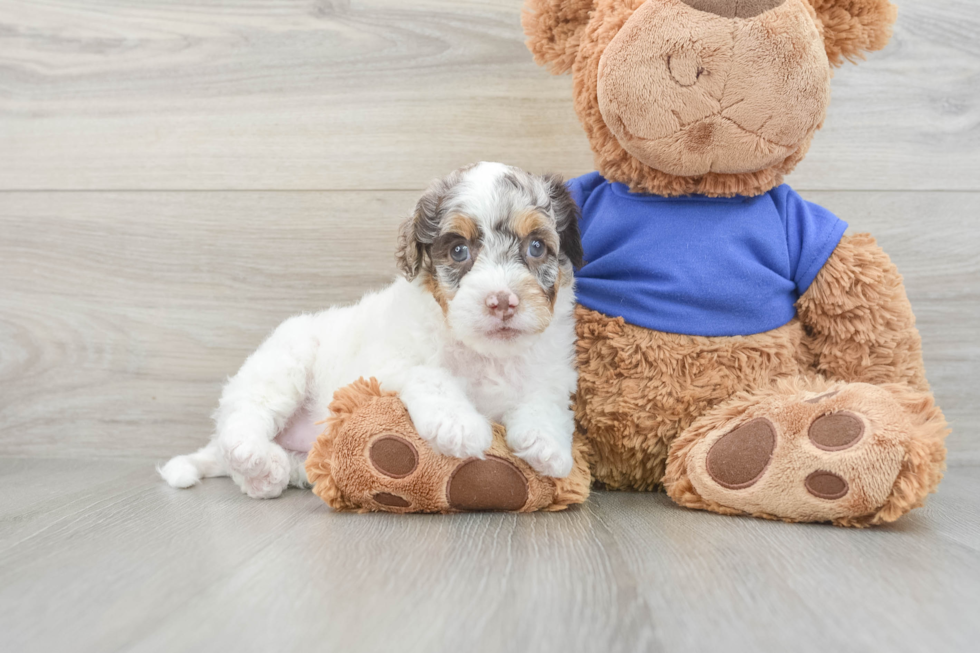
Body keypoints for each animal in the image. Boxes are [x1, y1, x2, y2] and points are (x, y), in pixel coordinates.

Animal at [160, 164, 580, 500]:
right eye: (459, 251)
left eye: (537, 246)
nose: (502, 301)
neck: (485, 354)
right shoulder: (389, 362)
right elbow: (431, 376)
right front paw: (459, 426)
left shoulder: (551, 373)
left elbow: (544, 401)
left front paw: (549, 446)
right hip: (282, 366)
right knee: (243, 421)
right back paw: (256, 458)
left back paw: (269, 473)